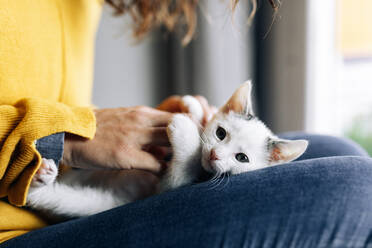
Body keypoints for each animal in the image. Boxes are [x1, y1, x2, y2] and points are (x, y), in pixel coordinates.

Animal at [26, 80, 308, 218]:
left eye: (241, 158)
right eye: (220, 133)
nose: (215, 154)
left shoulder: (168, 186)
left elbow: (182, 170)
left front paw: (185, 127)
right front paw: (191, 107)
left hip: (98, 201)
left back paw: (37, 179)